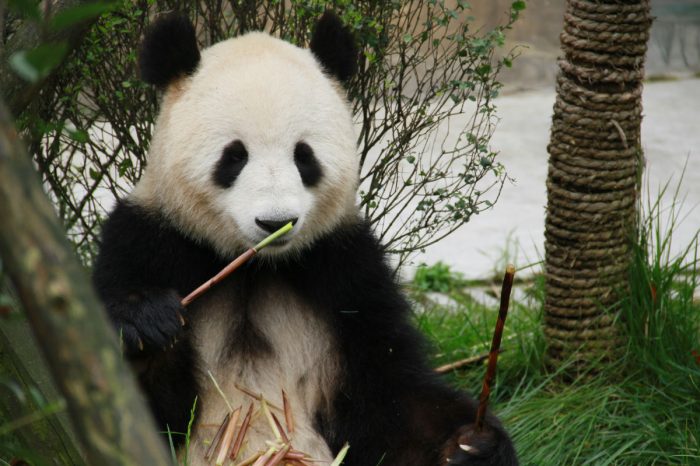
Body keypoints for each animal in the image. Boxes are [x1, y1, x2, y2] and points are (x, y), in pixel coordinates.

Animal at [91, 10, 520, 466]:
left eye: (304, 156)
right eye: (234, 157)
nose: (274, 222)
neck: (255, 266)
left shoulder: (345, 270)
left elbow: (387, 394)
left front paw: (471, 443)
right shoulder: (151, 240)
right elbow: (143, 410)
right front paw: (148, 323)